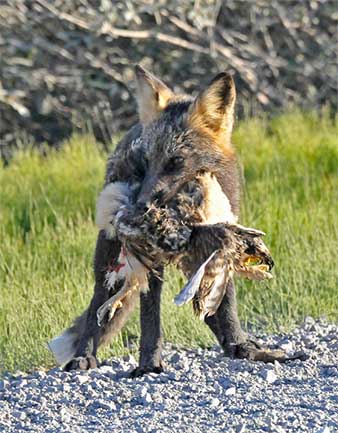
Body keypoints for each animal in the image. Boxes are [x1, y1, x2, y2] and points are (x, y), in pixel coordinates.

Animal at [48, 64, 298, 374]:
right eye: (144, 161)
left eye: (176, 161)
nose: (140, 205)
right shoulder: (151, 260)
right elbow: (150, 320)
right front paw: (148, 365)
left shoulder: (221, 244)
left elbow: (225, 305)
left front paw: (240, 346)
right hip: (110, 256)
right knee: (99, 303)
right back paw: (84, 354)